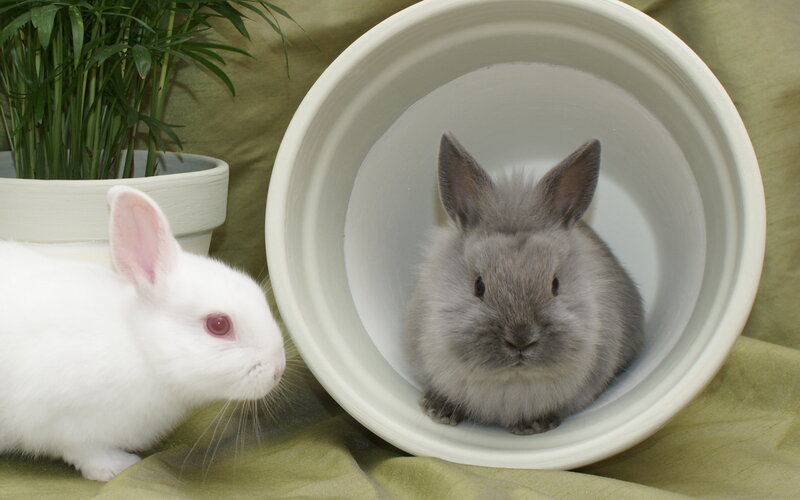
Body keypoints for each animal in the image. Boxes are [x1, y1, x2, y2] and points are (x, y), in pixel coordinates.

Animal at [0, 186, 285, 481]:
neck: (142, 348)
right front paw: (116, 467)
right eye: (218, 325)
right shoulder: (63, 422)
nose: (278, 369)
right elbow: (85, 452)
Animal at [404, 132, 644, 435]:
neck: (512, 379)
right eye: (479, 286)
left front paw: (533, 425)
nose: (521, 339)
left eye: (555, 284)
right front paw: (437, 411)